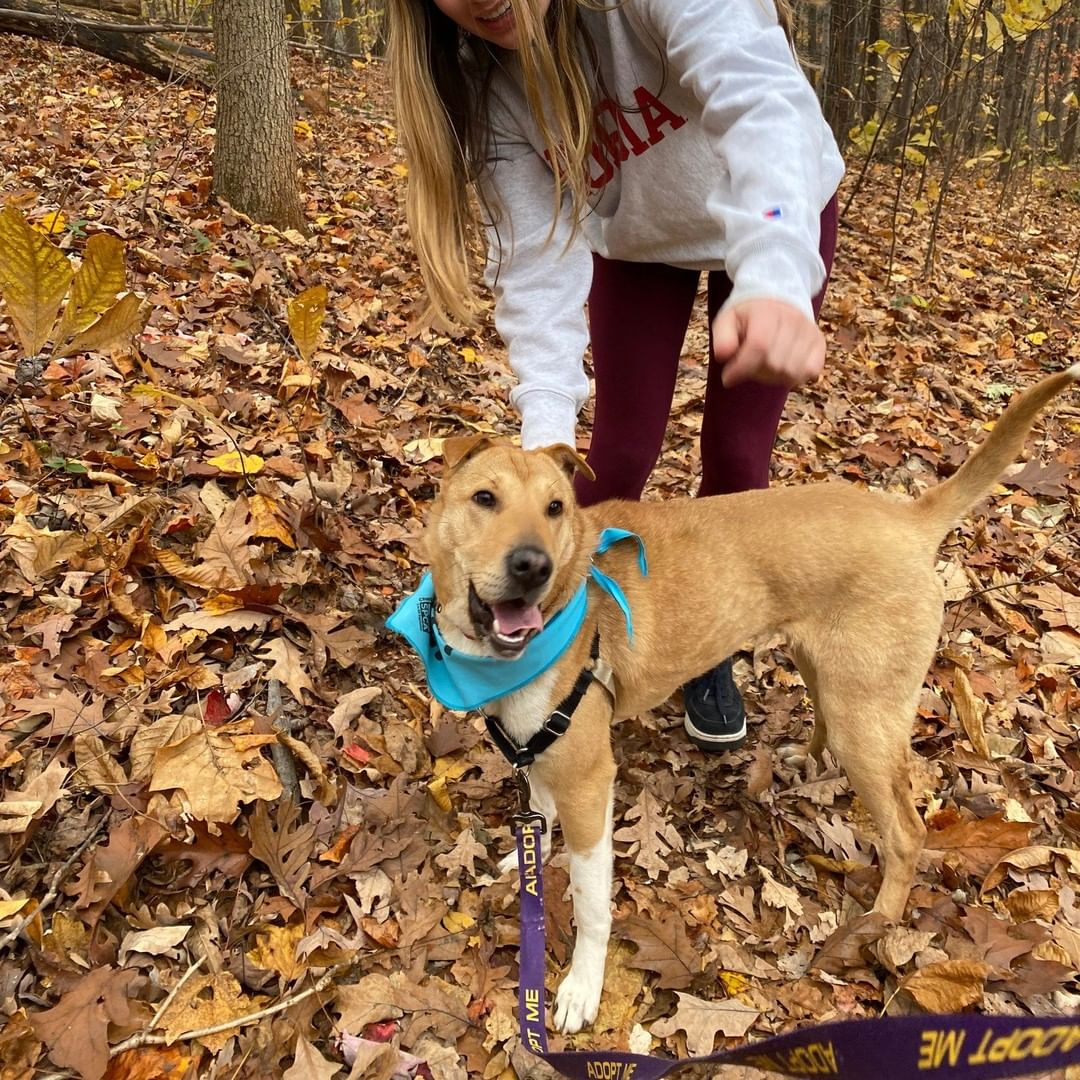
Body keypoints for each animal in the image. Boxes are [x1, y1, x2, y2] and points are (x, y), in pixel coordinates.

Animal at [416, 367, 1075, 1032]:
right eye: (484, 499)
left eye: (556, 508)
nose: (533, 566)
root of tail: (910, 519)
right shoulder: (544, 752)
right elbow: (540, 809)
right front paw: (527, 857)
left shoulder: (589, 778)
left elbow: (591, 904)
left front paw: (582, 987)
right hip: (823, 672)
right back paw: (807, 760)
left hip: (863, 719)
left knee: (908, 833)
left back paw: (878, 923)